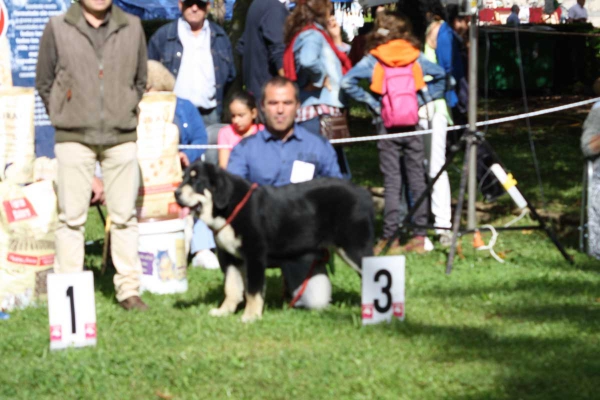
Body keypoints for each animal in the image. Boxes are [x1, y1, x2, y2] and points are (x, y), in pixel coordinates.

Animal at [173, 162, 372, 322]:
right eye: (183, 178)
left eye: (196, 180)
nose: (175, 193)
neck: (228, 208)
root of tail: (364, 192)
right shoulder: (229, 257)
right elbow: (231, 287)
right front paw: (224, 311)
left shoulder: (254, 256)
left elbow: (253, 291)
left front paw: (250, 316)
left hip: (355, 248)